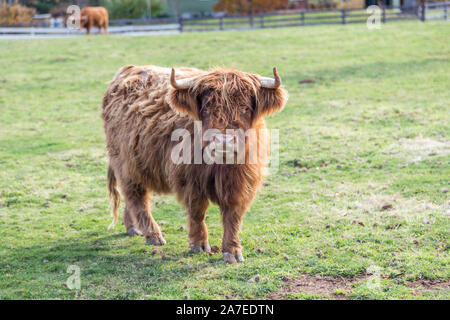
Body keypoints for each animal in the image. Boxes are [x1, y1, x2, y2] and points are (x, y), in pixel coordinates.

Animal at [101, 64, 288, 262]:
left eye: (245, 107)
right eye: (206, 109)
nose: (223, 142)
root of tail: (127, 71)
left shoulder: (242, 182)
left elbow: (233, 215)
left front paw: (232, 251)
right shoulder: (189, 180)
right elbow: (197, 211)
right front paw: (199, 244)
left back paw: (133, 228)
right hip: (126, 164)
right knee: (137, 198)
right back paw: (153, 235)